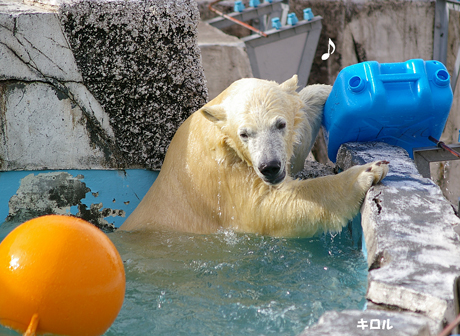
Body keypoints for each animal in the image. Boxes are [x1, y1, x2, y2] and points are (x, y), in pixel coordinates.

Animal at [119, 75, 388, 238]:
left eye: (280, 124)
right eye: (244, 133)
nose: (270, 166)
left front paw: (333, 92)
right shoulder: (224, 177)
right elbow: (266, 208)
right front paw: (367, 171)